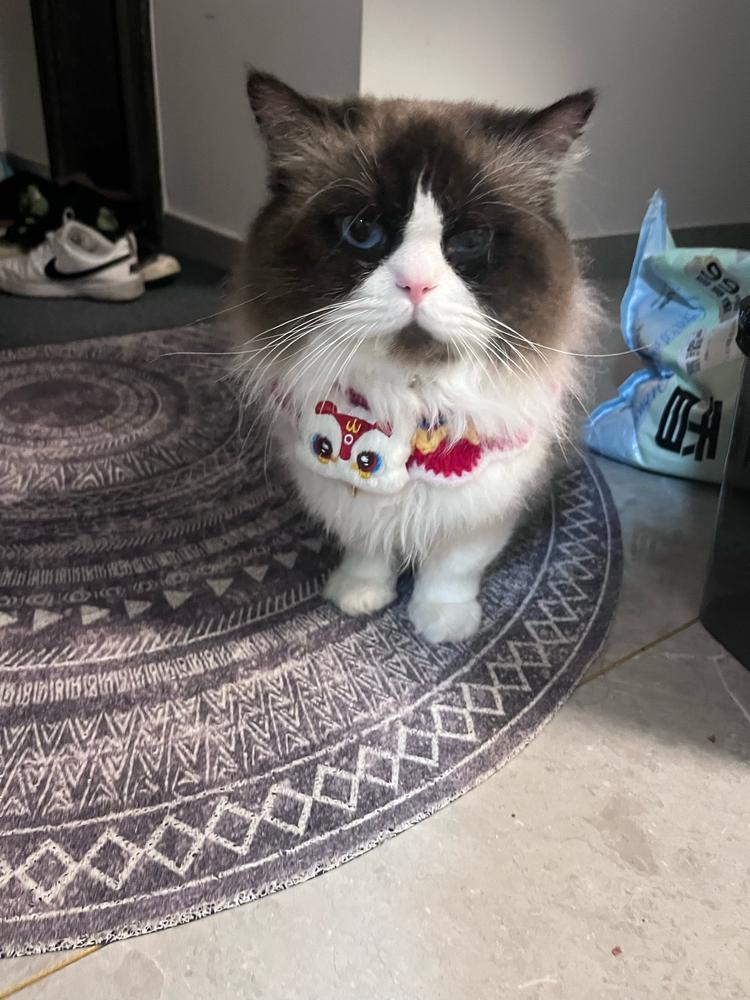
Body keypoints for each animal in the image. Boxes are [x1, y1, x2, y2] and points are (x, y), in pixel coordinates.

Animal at [232, 70, 599, 643]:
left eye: (469, 240)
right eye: (363, 231)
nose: (417, 285)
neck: (408, 398)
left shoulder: (486, 499)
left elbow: (452, 568)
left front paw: (440, 625)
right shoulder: (342, 482)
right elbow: (367, 547)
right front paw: (360, 595)